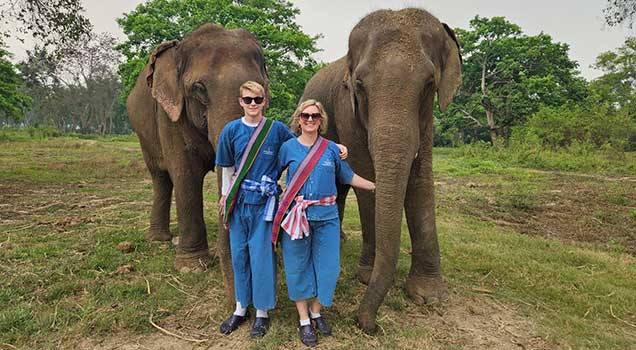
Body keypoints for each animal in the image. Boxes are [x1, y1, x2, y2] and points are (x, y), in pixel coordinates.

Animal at [126, 22, 268, 298]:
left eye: (261, 91)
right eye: (199, 88)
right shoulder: (169, 115)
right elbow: (185, 174)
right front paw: (191, 266)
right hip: (144, 136)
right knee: (161, 178)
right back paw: (159, 240)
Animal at [300, 7, 460, 330]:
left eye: (429, 84)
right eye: (360, 85)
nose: (369, 324)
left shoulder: (426, 120)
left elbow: (421, 179)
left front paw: (428, 296)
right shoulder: (346, 109)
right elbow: (365, 174)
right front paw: (366, 276)